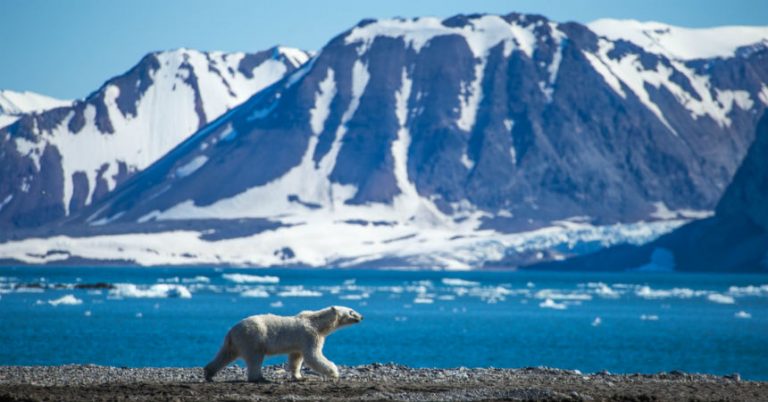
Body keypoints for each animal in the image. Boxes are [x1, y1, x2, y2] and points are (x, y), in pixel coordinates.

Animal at [202, 306, 362, 382]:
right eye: (351, 311)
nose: (361, 316)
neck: (317, 323)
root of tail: (232, 330)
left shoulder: (299, 343)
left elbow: (296, 358)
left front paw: (299, 376)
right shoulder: (310, 336)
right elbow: (313, 356)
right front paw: (334, 372)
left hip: (235, 342)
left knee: (225, 355)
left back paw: (209, 373)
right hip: (253, 337)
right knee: (255, 358)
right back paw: (259, 378)